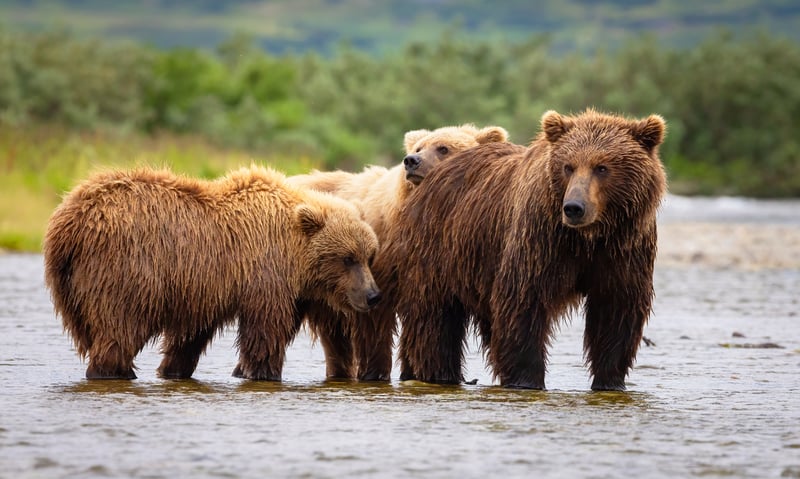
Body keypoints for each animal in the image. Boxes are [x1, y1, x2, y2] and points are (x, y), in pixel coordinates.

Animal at [43, 165, 381, 381]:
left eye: (369, 255)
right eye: (348, 258)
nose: (373, 295)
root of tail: (67, 221)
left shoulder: (205, 290)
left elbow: (189, 337)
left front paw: (173, 368)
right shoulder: (263, 275)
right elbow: (265, 331)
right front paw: (262, 372)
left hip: (72, 284)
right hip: (125, 268)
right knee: (119, 328)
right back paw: (113, 372)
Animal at [287, 124, 509, 380]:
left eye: (443, 148)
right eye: (419, 147)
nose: (411, 161)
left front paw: (410, 371)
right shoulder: (379, 262)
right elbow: (375, 320)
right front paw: (376, 372)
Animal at [379, 109, 667, 391]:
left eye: (602, 167)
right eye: (568, 166)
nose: (574, 207)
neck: (587, 237)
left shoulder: (623, 249)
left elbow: (616, 310)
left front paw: (610, 381)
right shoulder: (539, 239)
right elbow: (523, 301)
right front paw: (526, 380)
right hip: (438, 250)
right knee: (435, 317)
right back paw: (438, 374)